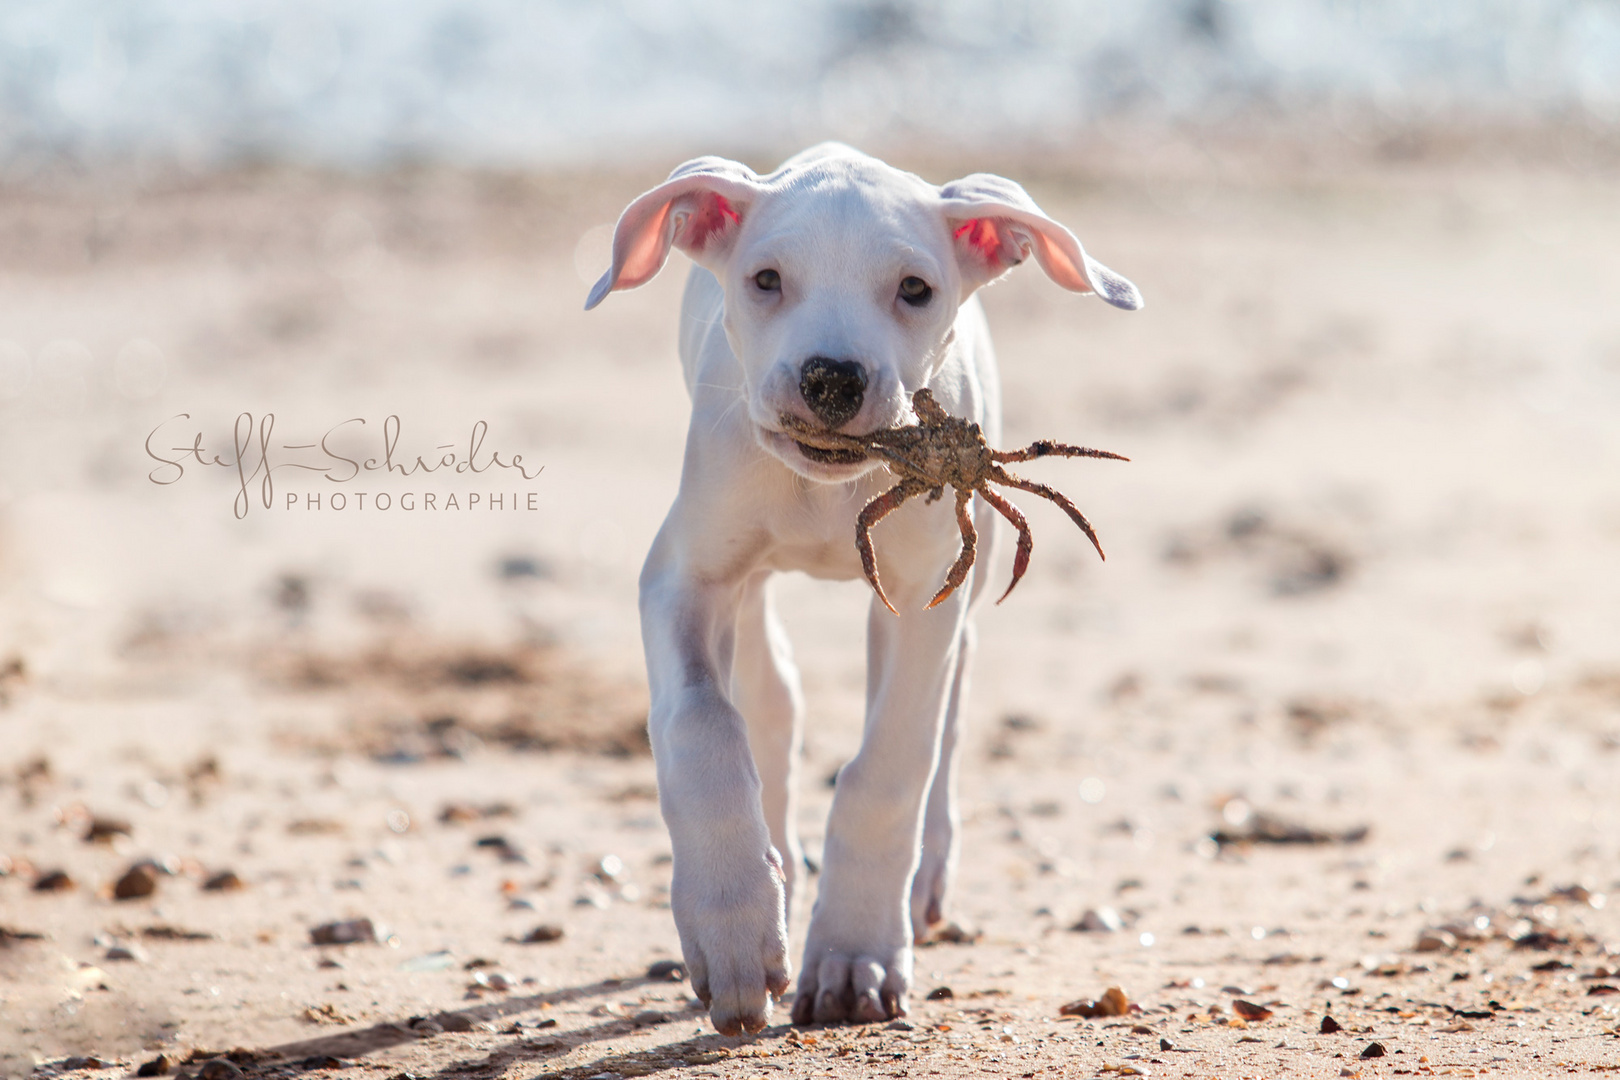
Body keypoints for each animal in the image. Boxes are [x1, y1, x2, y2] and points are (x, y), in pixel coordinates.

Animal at [586, 145, 1140, 1036]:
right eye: (766, 279)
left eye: (914, 288)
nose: (832, 378)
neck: (829, 494)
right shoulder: (682, 576)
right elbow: (700, 723)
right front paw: (733, 922)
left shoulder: (921, 593)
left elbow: (890, 765)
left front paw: (854, 955)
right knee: (768, 693)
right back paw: (776, 866)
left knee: (943, 715)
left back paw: (920, 880)